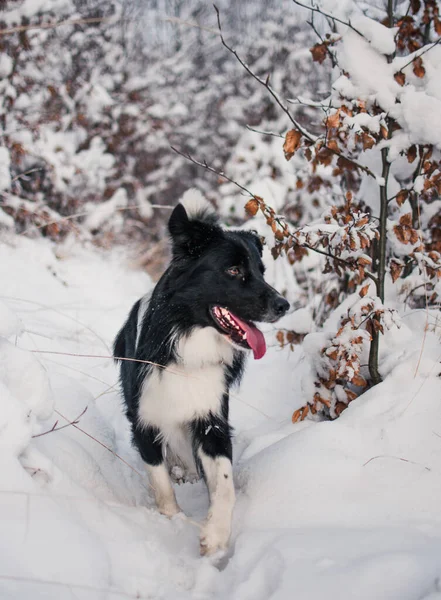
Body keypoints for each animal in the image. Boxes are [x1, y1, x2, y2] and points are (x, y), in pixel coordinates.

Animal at [113, 191, 288, 552]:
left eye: (261, 270)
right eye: (233, 269)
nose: (284, 305)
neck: (188, 340)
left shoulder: (211, 418)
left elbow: (225, 483)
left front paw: (215, 533)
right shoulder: (145, 418)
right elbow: (160, 480)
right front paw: (173, 520)